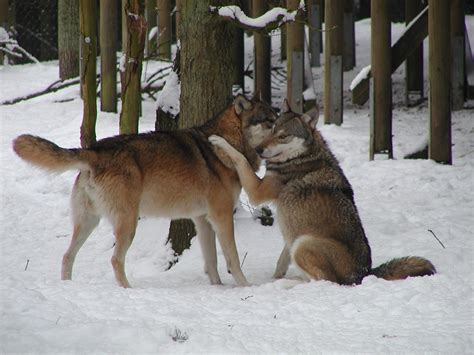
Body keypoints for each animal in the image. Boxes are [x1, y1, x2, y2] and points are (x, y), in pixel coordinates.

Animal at [12, 94, 276, 290]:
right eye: (269, 122)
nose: (281, 130)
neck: (228, 144)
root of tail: (94, 150)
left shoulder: (202, 220)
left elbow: (211, 261)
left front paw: (217, 287)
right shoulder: (221, 217)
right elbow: (233, 258)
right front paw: (245, 286)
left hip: (88, 222)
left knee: (67, 256)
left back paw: (67, 286)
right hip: (128, 224)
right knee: (115, 259)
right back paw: (128, 290)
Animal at [209, 101, 436, 286]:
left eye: (283, 136)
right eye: (272, 129)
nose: (258, 150)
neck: (303, 156)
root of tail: (365, 274)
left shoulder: (257, 192)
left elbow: (240, 158)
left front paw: (219, 141)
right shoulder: (292, 234)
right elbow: (283, 256)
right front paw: (276, 274)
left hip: (304, 243)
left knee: (324, 281)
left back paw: (288, 284)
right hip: (301, 242)